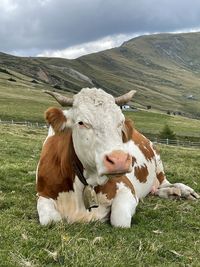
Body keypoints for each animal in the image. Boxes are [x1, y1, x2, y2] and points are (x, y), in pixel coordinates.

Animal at [36, 88, 200, 228]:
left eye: (120, 122)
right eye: (81, 122)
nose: (119, 160)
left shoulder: (127, 189)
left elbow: (119, 219)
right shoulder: (43, 194)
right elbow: (50, 220)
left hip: (158, 162)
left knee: (165, 182)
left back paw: (183, 190)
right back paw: (172, 193)